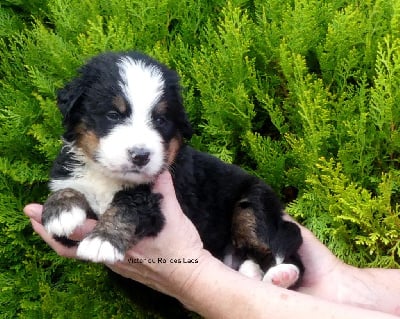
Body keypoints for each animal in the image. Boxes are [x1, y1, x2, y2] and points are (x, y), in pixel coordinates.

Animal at [43, 51, 304, 288]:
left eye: (160, 120)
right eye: (113, 114)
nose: (140, 156)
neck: (108, 177)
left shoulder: (160, 206)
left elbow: (128, 205)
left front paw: (103, 240)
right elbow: (68, 193)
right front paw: (61, 211)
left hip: (253, 202)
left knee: (276, 247)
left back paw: (280, 275)